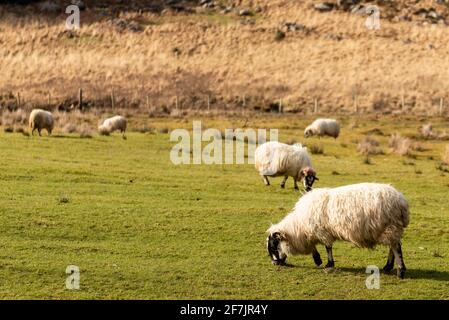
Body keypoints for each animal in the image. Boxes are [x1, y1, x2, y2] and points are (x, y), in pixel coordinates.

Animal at [266, 182, 410, 278]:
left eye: (273, 246)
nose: (274, 263)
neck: (299, 227)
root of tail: (401, 201)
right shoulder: (313, 232)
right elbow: (314, 246)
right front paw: (317, 259)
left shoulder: (322, 232)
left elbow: (328, 247)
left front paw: (328, 264)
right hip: (391, 229)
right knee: (393, 246)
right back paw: (388, 267)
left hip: (389, 226)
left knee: (396, 248)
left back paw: (400, 271)